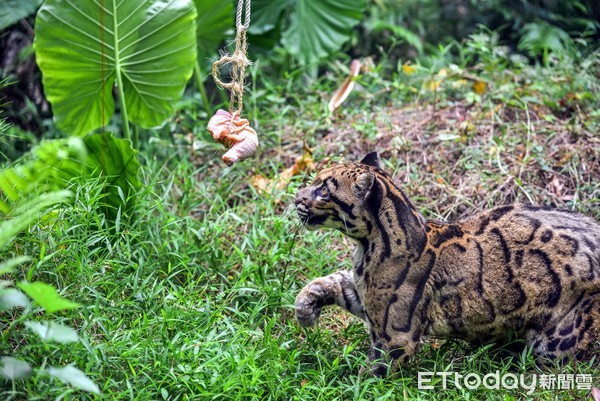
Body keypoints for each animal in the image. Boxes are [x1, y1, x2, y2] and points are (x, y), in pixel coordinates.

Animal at [296, 152, 600, 374]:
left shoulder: (395, 335)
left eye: (324, 191)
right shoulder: (365, 294)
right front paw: (304, 311)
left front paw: (342, 382)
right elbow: (329, 281)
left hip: (556, 340)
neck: (368, 247)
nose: (296, 197)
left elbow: (372, 375)